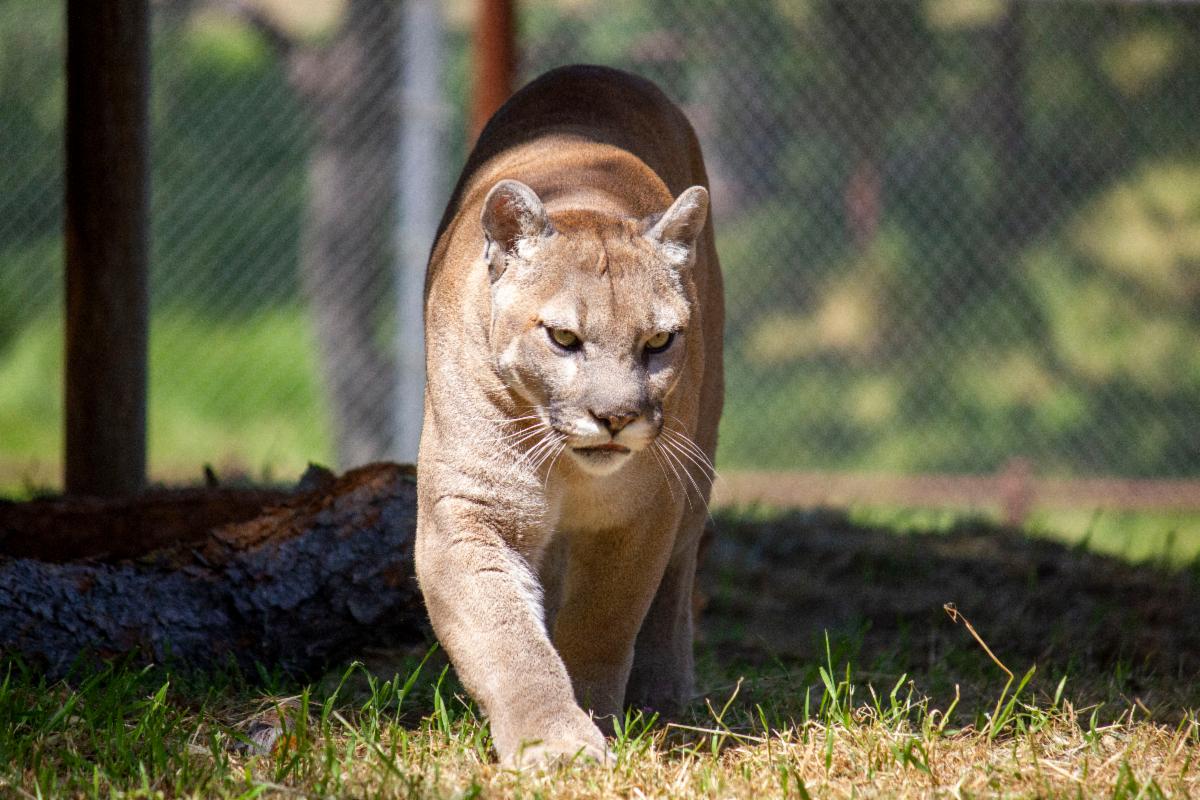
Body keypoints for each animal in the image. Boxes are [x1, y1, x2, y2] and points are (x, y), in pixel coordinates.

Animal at [414, 64, 724, 767]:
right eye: (562, 338)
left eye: (659, 341)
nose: (614, 416)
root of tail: (595, 69)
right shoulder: (467, 512)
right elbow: (508, 640)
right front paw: (555, 741)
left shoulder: (644, 510)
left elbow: (603, 622)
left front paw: (593, 717)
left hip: (699, 461)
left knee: (678, 579)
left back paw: (666, 692)